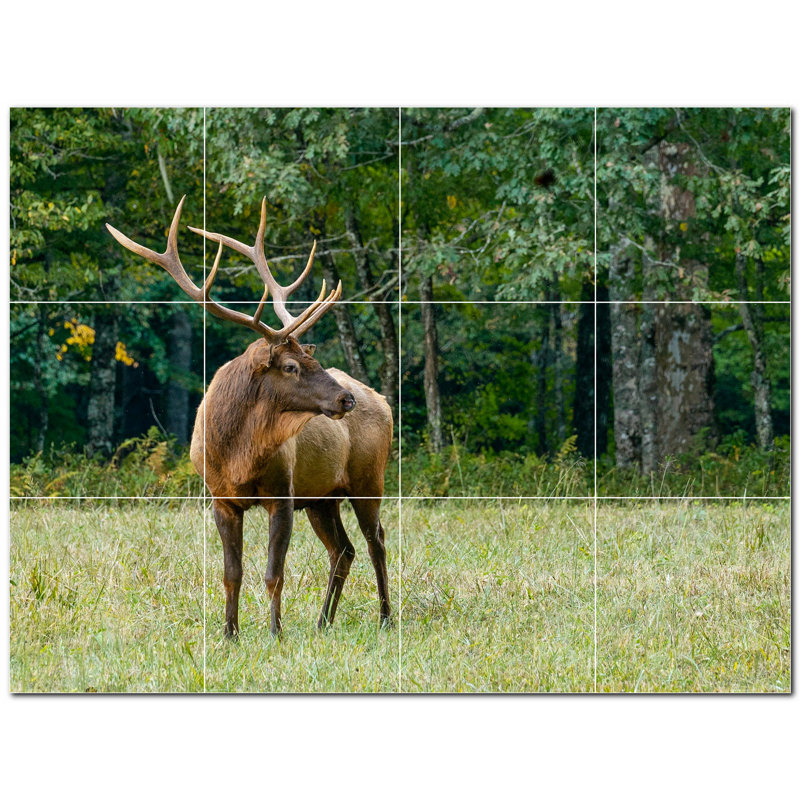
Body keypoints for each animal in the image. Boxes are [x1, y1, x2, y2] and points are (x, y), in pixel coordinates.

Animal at [106, 197, 393, 637]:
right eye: (291, 366)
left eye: (312, 358)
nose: (346, 400)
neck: (238, 454)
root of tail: (384, 401)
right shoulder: (221, 498)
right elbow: (232, 573)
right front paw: (229, 634)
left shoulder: (283, 494)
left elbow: (274, 573)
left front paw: (275, 633)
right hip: (322, 496)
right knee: (343, 550)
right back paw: (323, 622)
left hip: (367, 478)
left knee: (376, 539)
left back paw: (385, 618)